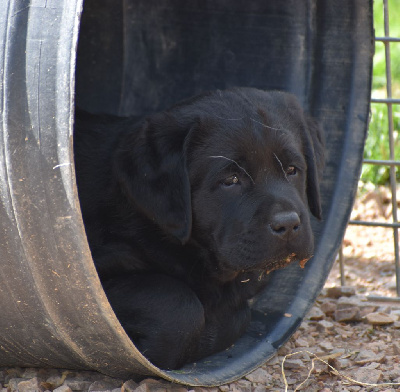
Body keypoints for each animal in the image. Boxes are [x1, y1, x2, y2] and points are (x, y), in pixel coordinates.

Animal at [74, 87, 324, 370]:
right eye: (231, 180)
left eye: (293, 170)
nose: (288, 223)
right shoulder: (93, 277)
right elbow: (179, 306)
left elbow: (236, 315)